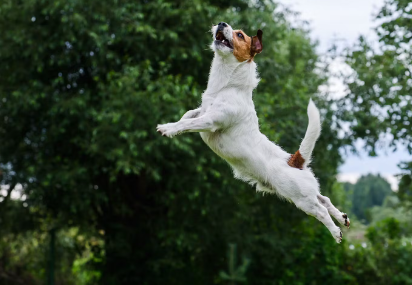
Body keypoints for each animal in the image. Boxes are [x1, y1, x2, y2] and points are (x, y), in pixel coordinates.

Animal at [156, 21, 350, 242]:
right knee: (324, 199)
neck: (227, 86)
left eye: (240, 35)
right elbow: (187, 115)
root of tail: (295, 161)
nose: (221, 23)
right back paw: (342, 217)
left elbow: (186, 124)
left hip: (301, 198)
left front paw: (167, 128)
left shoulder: (210, 120)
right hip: (306, 192)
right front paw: (172, 126)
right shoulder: (201, 110)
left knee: (321, 211)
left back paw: (335, 231)